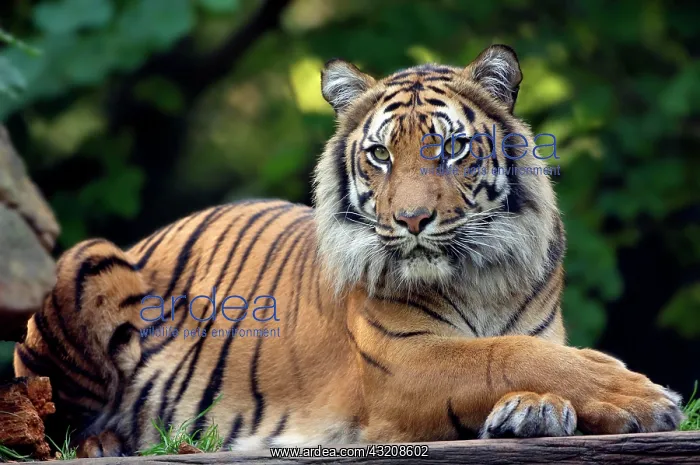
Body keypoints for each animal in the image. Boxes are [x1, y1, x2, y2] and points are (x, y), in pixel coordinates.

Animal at [14, 45, 682, 458]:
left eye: (452, 149)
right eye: (381, 154)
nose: (411, 220)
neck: (480, 277)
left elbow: (532, 353)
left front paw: (537, 410)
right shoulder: (404, 365)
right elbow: (502, 354)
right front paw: (647, 397)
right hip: (85, 261)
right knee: (46, 418)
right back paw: (108, 441)